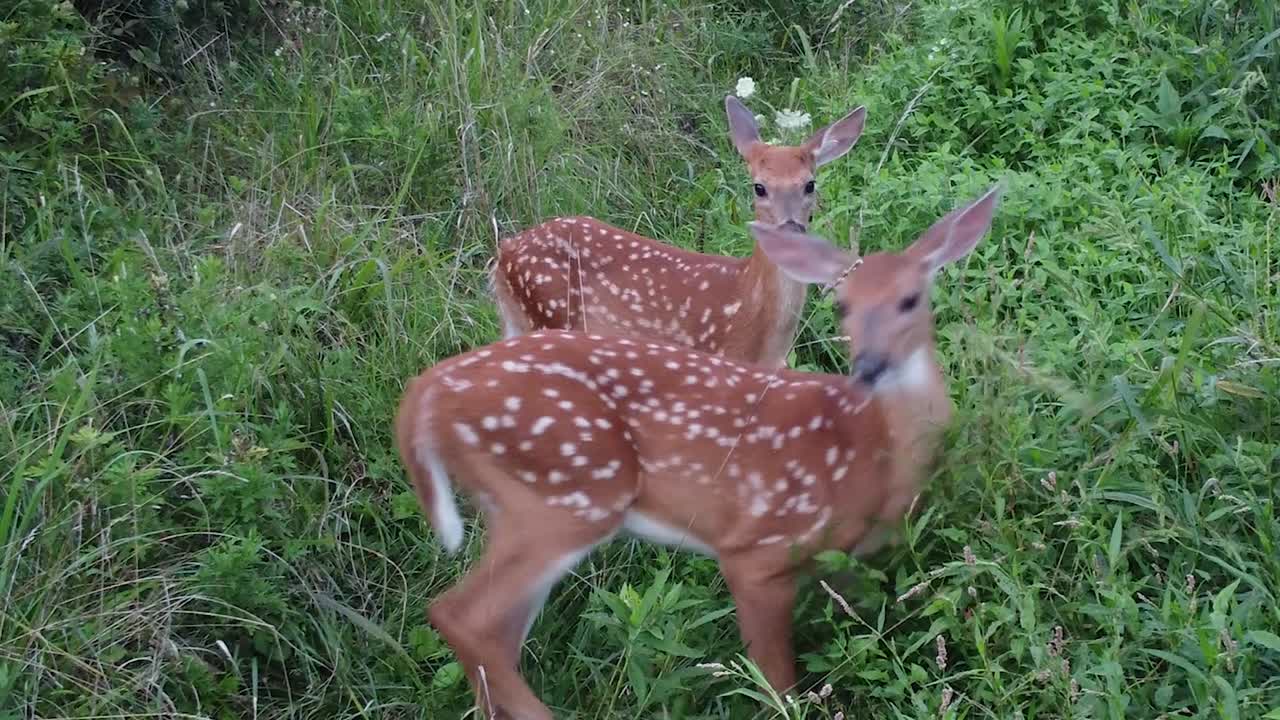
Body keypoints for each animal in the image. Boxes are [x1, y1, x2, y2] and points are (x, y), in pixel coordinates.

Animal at [397, 185, 1002, 719]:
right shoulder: (758, 551)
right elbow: (777, 683)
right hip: (564, 498)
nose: (869, 367)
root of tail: (427, 394)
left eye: (911, 299)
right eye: (842, 307)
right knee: (460, 616)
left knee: (492, 633)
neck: (866, 450)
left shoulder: (850, 562)